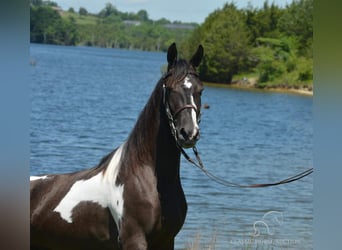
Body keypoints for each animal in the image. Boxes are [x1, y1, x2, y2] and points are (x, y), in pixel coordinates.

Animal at [30, 43, 203, 250]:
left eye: (200, 90)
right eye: (170, 89)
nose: (189, 133)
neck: (144, 176)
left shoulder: (167, 241)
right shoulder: (134, 239)